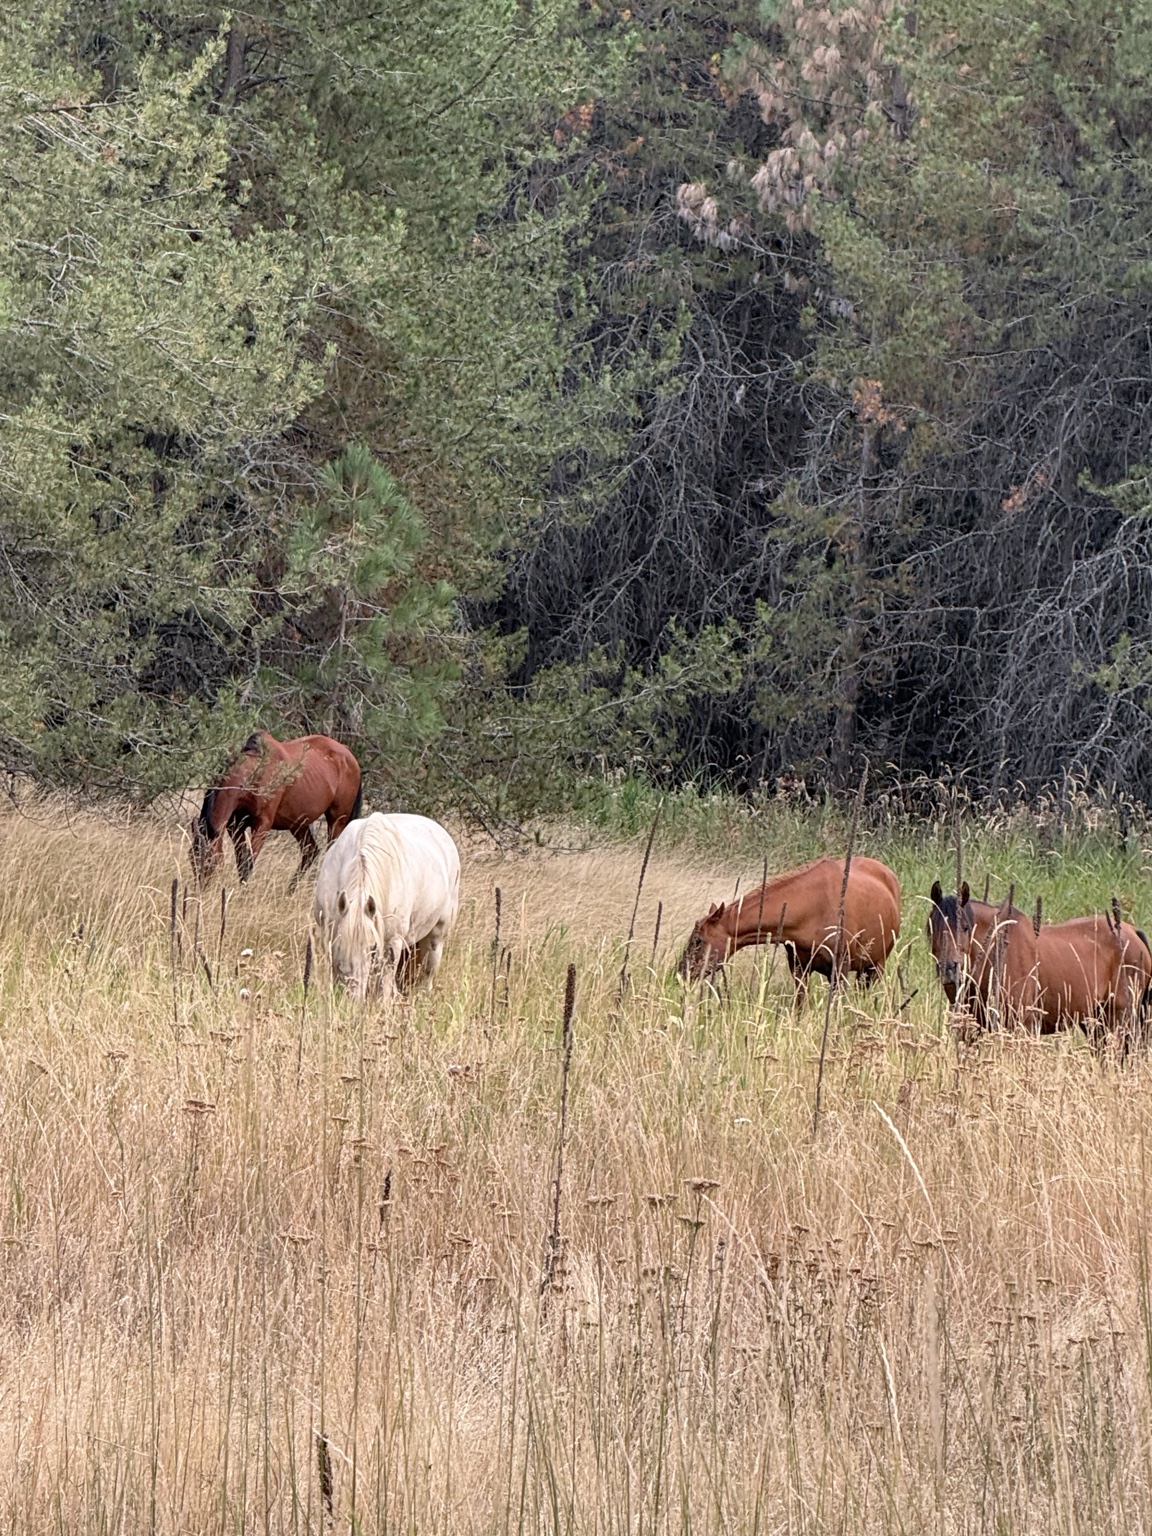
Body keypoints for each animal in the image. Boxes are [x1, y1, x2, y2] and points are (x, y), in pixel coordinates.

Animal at [189, 732, 362, 887]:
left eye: (210, 861)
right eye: (192, 858)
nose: (200, 893)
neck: (255, 773)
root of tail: (349, 754)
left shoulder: (262, 824)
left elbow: (248, 864)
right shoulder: (235, 826)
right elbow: (241, 862)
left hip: (337, 820)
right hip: (298, 824)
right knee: (310, 851)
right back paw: (289, 891)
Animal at [312, 812, 460, 1000]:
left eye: (372, 948)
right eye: (340, 944)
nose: (352, 997)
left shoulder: (392, 943)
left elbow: (385, 982)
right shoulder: (328, 934)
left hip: (437, 934)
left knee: (428, 971)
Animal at [677, 856, 901, 1005]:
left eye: (698, 940)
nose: (681, 972)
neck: (811, 909)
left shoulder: (841, 968)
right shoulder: (798, 968)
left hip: (876, 967)